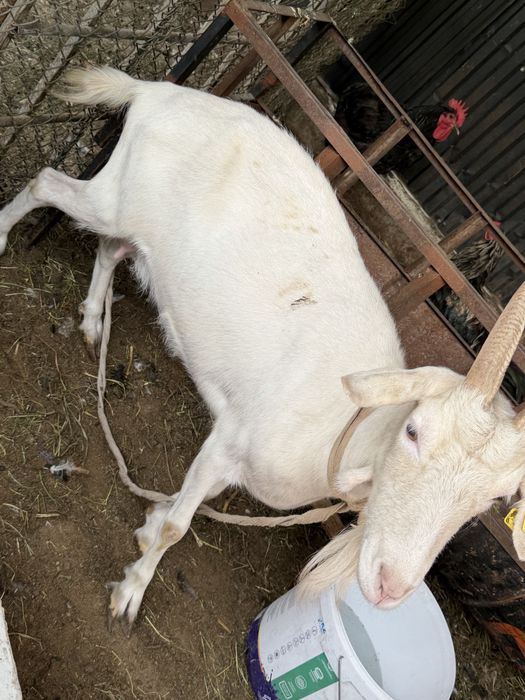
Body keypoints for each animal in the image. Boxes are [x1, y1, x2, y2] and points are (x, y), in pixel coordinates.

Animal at [1, 67, 525, 628]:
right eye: (413, 430)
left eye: (493, 499)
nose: (390, 587)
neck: (340, 426)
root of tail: (153, 91)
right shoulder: (231, 437)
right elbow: (179, 529)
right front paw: (130, 594)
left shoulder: (229, 456)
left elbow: (187, 504)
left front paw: (149, 523)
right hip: (113, 197)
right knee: (45, 182)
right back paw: (5, 237)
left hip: (135, 224)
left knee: (110, 246)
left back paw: (93, 322)